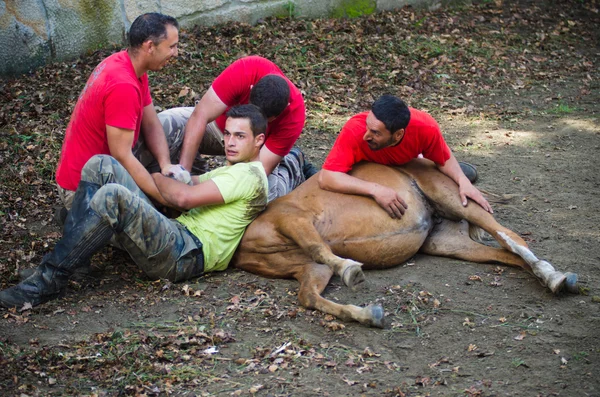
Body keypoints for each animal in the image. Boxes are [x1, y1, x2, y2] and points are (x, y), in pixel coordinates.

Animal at [232, 159, 580, 326]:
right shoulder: (303, 247)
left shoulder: (295, 220)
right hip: (448, 242)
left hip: (456, 210)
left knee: (512, 241)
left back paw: (555, 278)